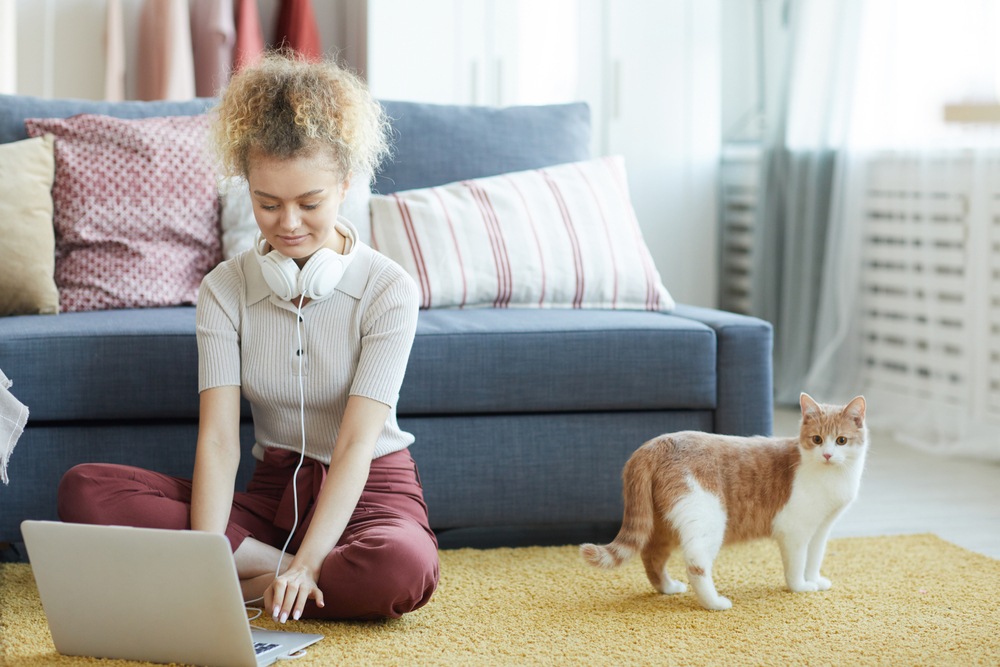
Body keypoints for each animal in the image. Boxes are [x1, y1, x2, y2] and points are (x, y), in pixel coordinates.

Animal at [584, 394, 864, 612]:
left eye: (841, 440)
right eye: (817, 439)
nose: (827, 455)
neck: (832, 477)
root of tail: (656, 443)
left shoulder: (820, 530)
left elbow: (814, 559)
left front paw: (815, 581)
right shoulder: (794, 531)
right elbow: (796, 565)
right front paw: (801, 587)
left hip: (664, 523)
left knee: (652, 554)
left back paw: (669, 588)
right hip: (707, 518)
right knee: (695, 564)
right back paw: (715, 603)